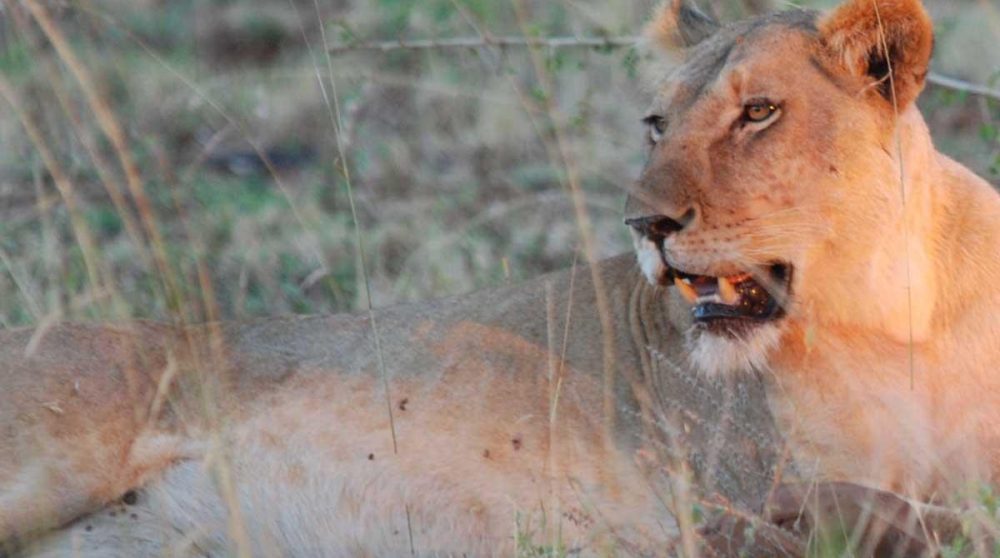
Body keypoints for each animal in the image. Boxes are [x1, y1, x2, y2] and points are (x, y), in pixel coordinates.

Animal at [1, 0, 997, 556]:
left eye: (758, 113)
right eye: (656, 123)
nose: (645, 224)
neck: (893, 315)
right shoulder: (734, 489)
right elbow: (900, 512)